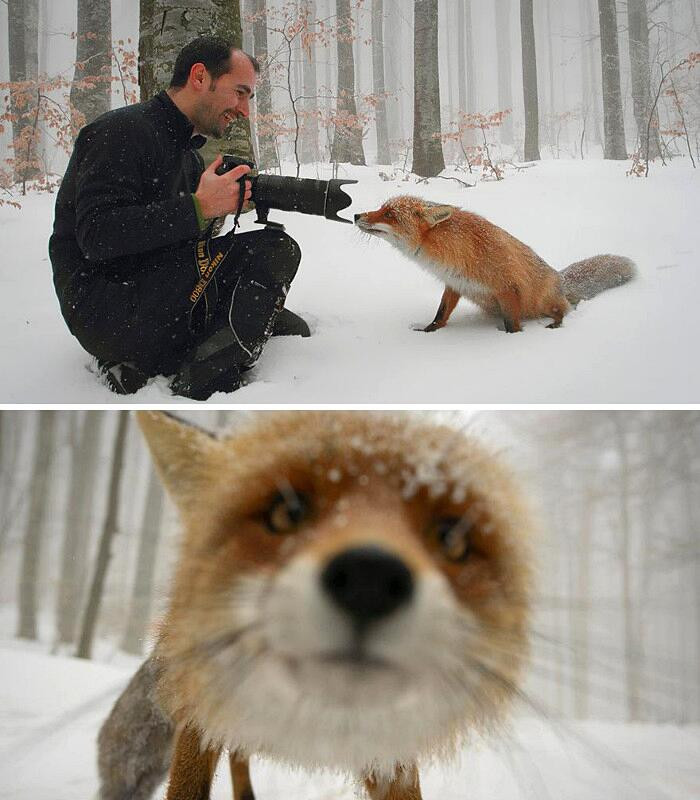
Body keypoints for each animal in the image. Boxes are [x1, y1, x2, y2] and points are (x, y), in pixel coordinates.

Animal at [98, 412, 536, 800]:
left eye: (451, 538)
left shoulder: (388, 748)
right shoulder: (200, 712)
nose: (368, 581)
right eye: (286, 513)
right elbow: (189, 785)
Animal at [356, 195, 636, 332]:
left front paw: (510, 341)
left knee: (564, 311)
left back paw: (556, 324)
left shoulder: (508, 289)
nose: (357, 215)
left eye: (389, 214)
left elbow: (512, 325)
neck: (456, 251)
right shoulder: (454, 283)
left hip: (544, 301)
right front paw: (428, 332)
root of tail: (560, 278)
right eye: (381, 208)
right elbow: (440, 314)